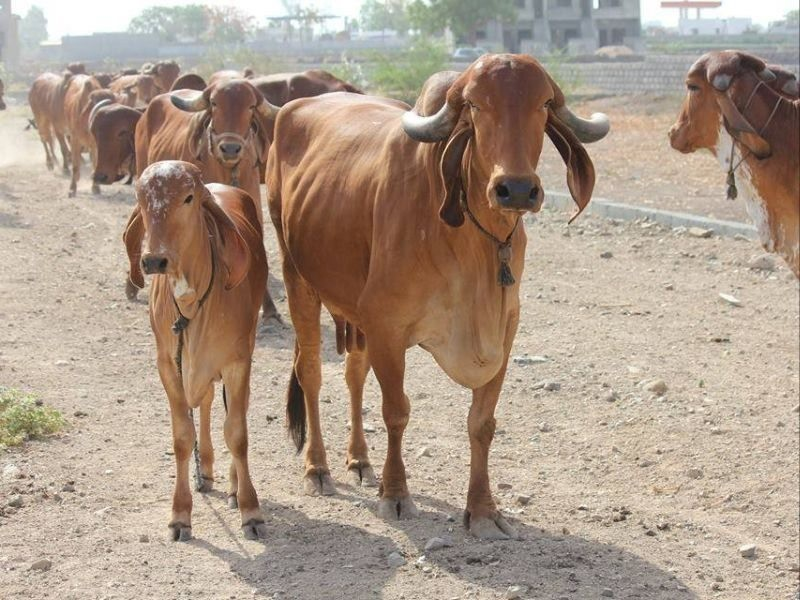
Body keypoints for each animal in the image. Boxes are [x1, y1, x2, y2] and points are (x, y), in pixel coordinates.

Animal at [123, 161, 268, 541]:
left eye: (188, 198)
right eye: (142, 199)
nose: (154, 261)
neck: (191, 302)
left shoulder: (237, 362)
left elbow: (237, 433)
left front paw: (250, 509)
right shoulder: (168, 365)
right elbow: (182, 437)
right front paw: (180, 515)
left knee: (233, 410)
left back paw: (232, 485)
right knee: (203, 404)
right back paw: (205, 469)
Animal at [266, 54, 609, 539]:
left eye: (544, 103)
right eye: (475, 105)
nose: (516, 189)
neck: (474, 244)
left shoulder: (503, 333)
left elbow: (482, 423)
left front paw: (482, 509)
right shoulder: (387, 326)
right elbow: (396, 411)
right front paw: (394, 493)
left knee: (353, 374)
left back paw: (359, 460)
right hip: (297, 277)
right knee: (311, 372)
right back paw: (318, 468)